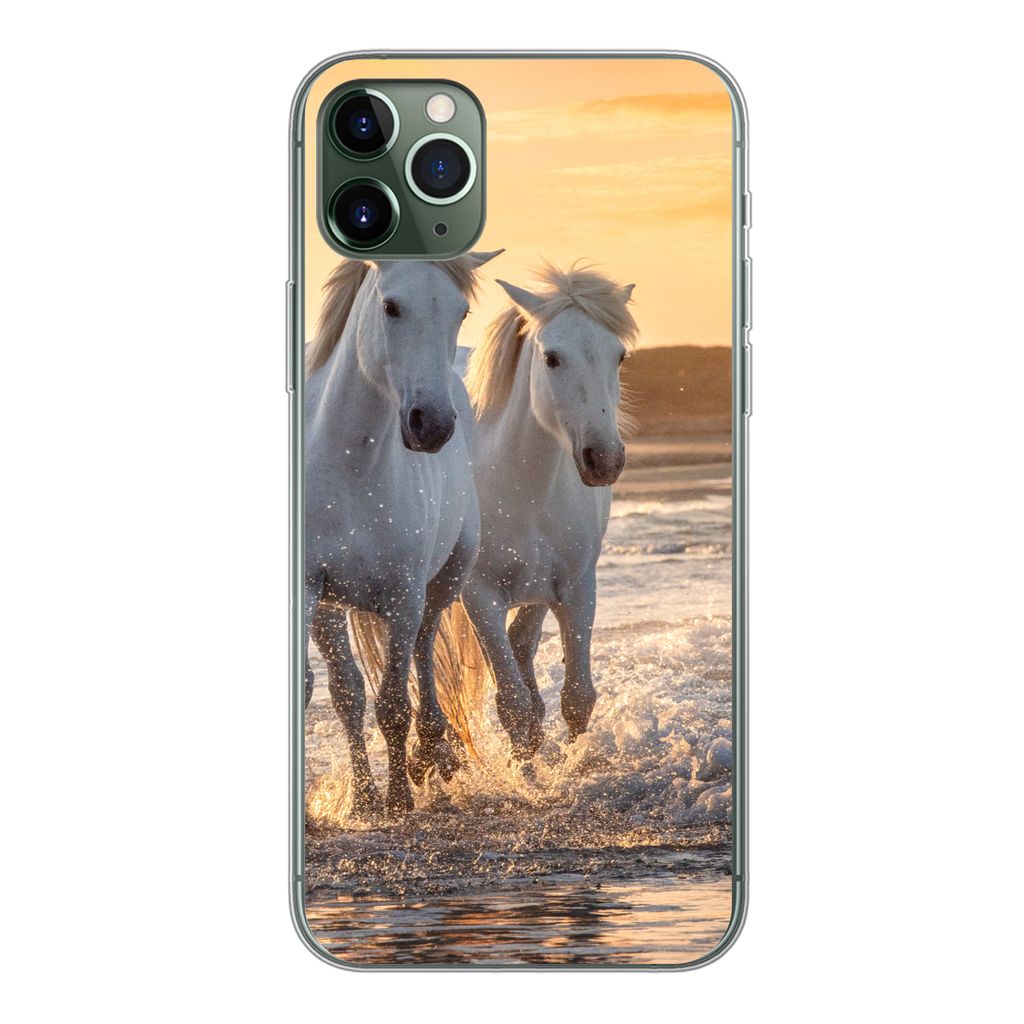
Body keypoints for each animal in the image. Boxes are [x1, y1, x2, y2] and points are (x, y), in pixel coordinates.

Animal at [304, 251, 503, 815]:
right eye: (391, 306)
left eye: (460, 311)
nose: (431, 424)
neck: (348, 467)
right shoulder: (309, 592)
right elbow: (336, 693)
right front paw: (367, 800)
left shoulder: (403, 594)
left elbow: (394, 700)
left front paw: (398, 798)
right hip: (334, 608)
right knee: (349, 689)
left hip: (444, 582)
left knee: (422, 653)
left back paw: (432, 753)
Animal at [459, 263, 638, 761]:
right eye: (552, 358)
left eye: (619, 356)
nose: (605, 460)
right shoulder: (480, 598)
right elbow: (514, 708)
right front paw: (531, 775)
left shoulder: (576, 589)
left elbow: (577, 697)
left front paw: (572, 766)